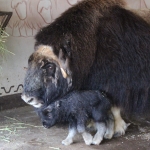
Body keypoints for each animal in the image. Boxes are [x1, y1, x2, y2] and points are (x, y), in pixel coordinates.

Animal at [21, 0, 150, 138]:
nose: (27, 98)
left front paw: (117, 129)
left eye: (49, 66)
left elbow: (114, 105)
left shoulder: (116, 82)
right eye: (30, 61)